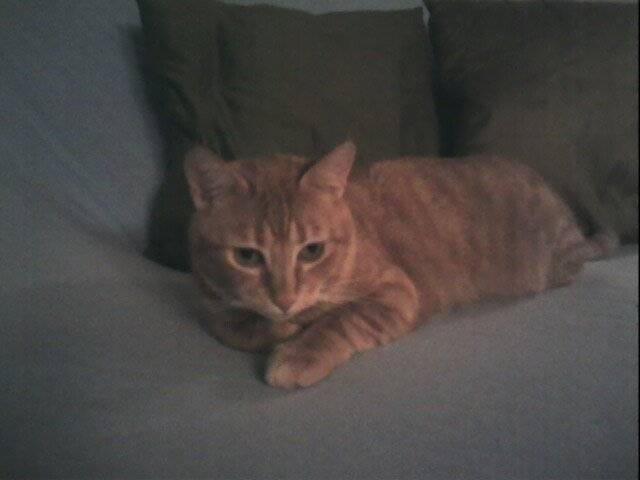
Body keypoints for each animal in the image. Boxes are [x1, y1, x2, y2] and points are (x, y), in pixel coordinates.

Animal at [184, 141, 617, 389]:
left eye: (312, 251)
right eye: (246, 256)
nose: (285, 300)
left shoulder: (396, 293)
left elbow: (339, 320)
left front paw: (297, 351)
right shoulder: (209, 302)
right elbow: (229, 325)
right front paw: (277, 326)